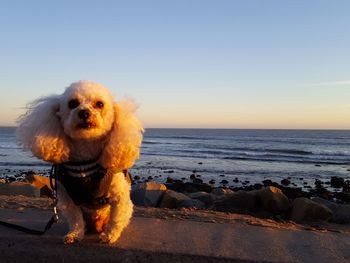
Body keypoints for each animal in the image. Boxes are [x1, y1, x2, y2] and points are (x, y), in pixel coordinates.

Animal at [17, 81, 143, 245]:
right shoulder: (67, 198)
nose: (84, 113)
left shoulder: (119, 197)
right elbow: (76, 219)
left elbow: (116, 219)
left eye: (99, 104)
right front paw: (75, 234)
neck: (84, 162)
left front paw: (109, 236)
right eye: (72, 103)